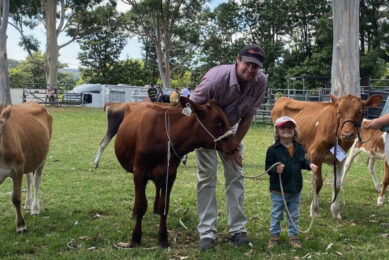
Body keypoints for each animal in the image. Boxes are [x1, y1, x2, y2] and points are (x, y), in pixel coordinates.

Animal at [0, 102, 52, 233]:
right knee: (29, 179)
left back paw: (35, 208)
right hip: (28, 159)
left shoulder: (17, 168)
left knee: (36, 181)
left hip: (42, 158)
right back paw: (28, 203)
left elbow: (16, 198)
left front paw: (21, 225)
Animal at [113, 96, 238, 247]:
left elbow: (164, 206)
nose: (235, 146)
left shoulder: (171, 174)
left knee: (158, 189)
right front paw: (135, 238)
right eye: (217, 121)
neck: (164, 137)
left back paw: (155, 208)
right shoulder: (139, 173)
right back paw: (134, 214)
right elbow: (141, 205)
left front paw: (163, 237)